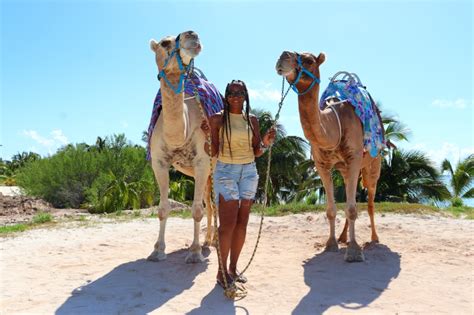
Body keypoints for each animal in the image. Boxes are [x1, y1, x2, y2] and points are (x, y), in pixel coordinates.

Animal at [148, 30, 215, 264]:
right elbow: (163, 209)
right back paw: (208, 240)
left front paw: (194, 253)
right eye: (164, 43)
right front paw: (157, 251)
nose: (192, 35)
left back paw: (213, 242)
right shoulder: (159, 162)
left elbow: (196, 210)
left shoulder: (202, 161)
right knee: (209, 202)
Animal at [276, 51, 384, 262]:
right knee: (354, 198)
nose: (283, 57)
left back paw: (374, 239)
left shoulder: (354, 158)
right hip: (345, 170)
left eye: (309, 60)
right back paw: (343, 237)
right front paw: (331, 244)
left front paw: (354, 252)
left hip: (373, 164)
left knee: (370, 201)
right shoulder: (322, 165)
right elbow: (332, 210)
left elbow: (352, 209)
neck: (334, 124)